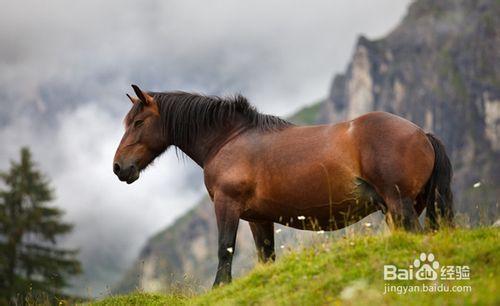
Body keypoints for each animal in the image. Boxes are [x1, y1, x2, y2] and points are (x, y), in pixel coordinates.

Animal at [112, 84, 454, 286]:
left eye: (138, 122)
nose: (119, 167)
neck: (229, 140)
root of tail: (422, 133)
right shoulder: (258, 218)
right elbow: (266, 258)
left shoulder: (227, 205)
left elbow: (225, 249)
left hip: (400, 206)